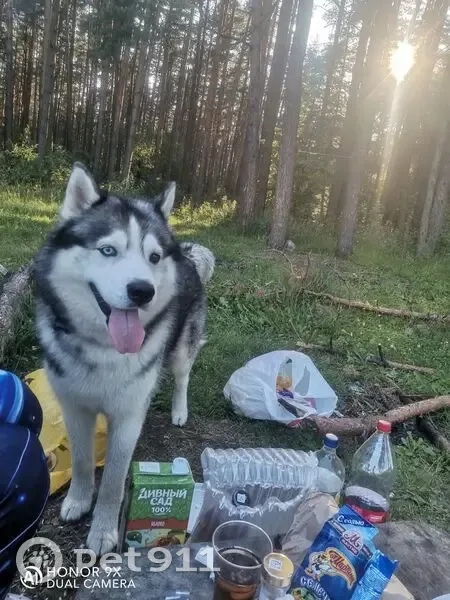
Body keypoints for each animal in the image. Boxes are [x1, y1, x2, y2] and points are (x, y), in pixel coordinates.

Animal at [34, 163, 214, 555]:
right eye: (107, 250)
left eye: (154, 257)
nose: (142, 290)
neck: (103, 349)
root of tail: (186, 253)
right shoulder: (74, 408)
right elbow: (83, 461)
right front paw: (78, 500)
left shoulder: (129, 417)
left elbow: (115, 481)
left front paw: (102, 531)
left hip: (182, 348)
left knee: (182, 376)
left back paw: (179, 410)